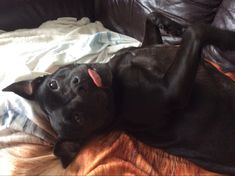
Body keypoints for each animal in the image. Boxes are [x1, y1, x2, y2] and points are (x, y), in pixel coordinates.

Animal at [2, 13, 235, 175]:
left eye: (53, 84)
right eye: (78, 118)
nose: (80, 85)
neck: (115, 82)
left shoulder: (148, 46)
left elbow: (154, 18)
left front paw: (172, 25)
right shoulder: (172, 92)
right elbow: (196, 31)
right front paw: (227, 36)